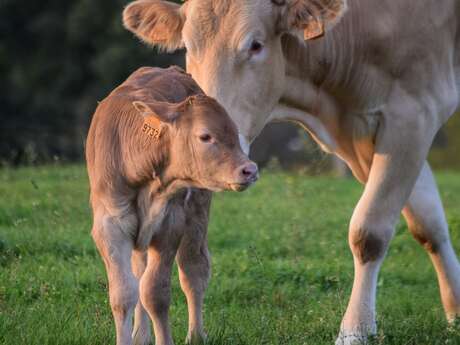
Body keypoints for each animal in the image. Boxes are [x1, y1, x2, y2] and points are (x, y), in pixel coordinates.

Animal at [86, 65, 258, 344]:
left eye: (234, 131)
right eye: (205, 136)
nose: (249, 170)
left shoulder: (170, 224)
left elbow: (154, 292)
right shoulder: (109, 225)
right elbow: (124, 293)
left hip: (197, 211)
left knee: (193, 270)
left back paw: (196, 335)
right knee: (139, 271)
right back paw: (140, 334)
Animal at [122, 0, 460, 342]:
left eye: (256, 45)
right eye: (189, 47)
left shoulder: (414, 111)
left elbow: (369, 232)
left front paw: (355, 330)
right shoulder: (368, 138)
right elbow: (428, 224)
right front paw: (455, 311)